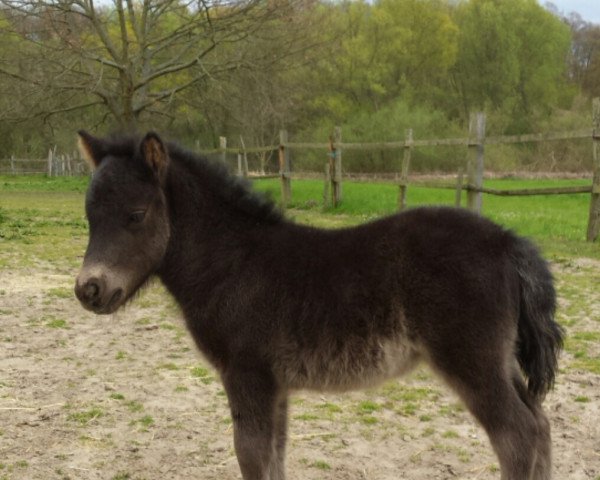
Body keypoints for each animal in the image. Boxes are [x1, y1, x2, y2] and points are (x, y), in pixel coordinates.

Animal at [75, 131, 564, 480]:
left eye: (136, 215)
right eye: (89, 216)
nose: (88, 290)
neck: (232, 262)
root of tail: (507, 242)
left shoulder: (247, 374)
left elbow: (251, 456)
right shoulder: (275, 386)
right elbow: (273, 457)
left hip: (471, 361)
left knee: (518, 436)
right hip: (501, 361)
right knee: (539, 426)